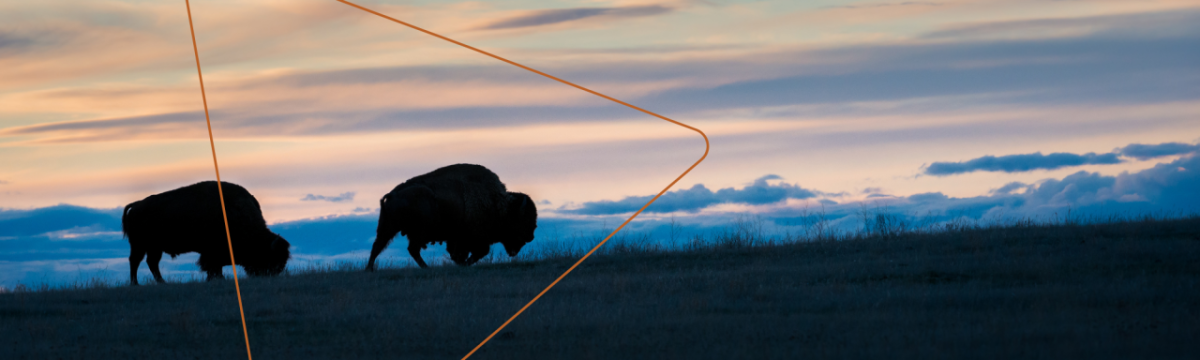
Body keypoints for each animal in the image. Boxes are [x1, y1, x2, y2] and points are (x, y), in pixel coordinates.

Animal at [121, 181, 290, 285]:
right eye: (269, 256)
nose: (270, 275)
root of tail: (136, 206)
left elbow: (214, 267)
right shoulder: (211, 252)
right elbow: (212, 266)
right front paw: (218, 279)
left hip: (154, 247)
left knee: (151, 262)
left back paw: (162, 282)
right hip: (140, 245)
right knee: (135, 261)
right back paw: (135, 284)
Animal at [362, 164, 537, 270]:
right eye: (523, 220)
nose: (530, 237)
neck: (497, 202)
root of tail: (392, 194)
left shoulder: (457, 240)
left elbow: (461, 253)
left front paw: (461, 264)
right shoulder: (473, 239)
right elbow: (479, 252)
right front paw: (464, 264)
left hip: (389, 227)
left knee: (379, 245)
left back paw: (369, 269)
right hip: (415, 231)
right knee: (410, 249)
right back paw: (425, 268)